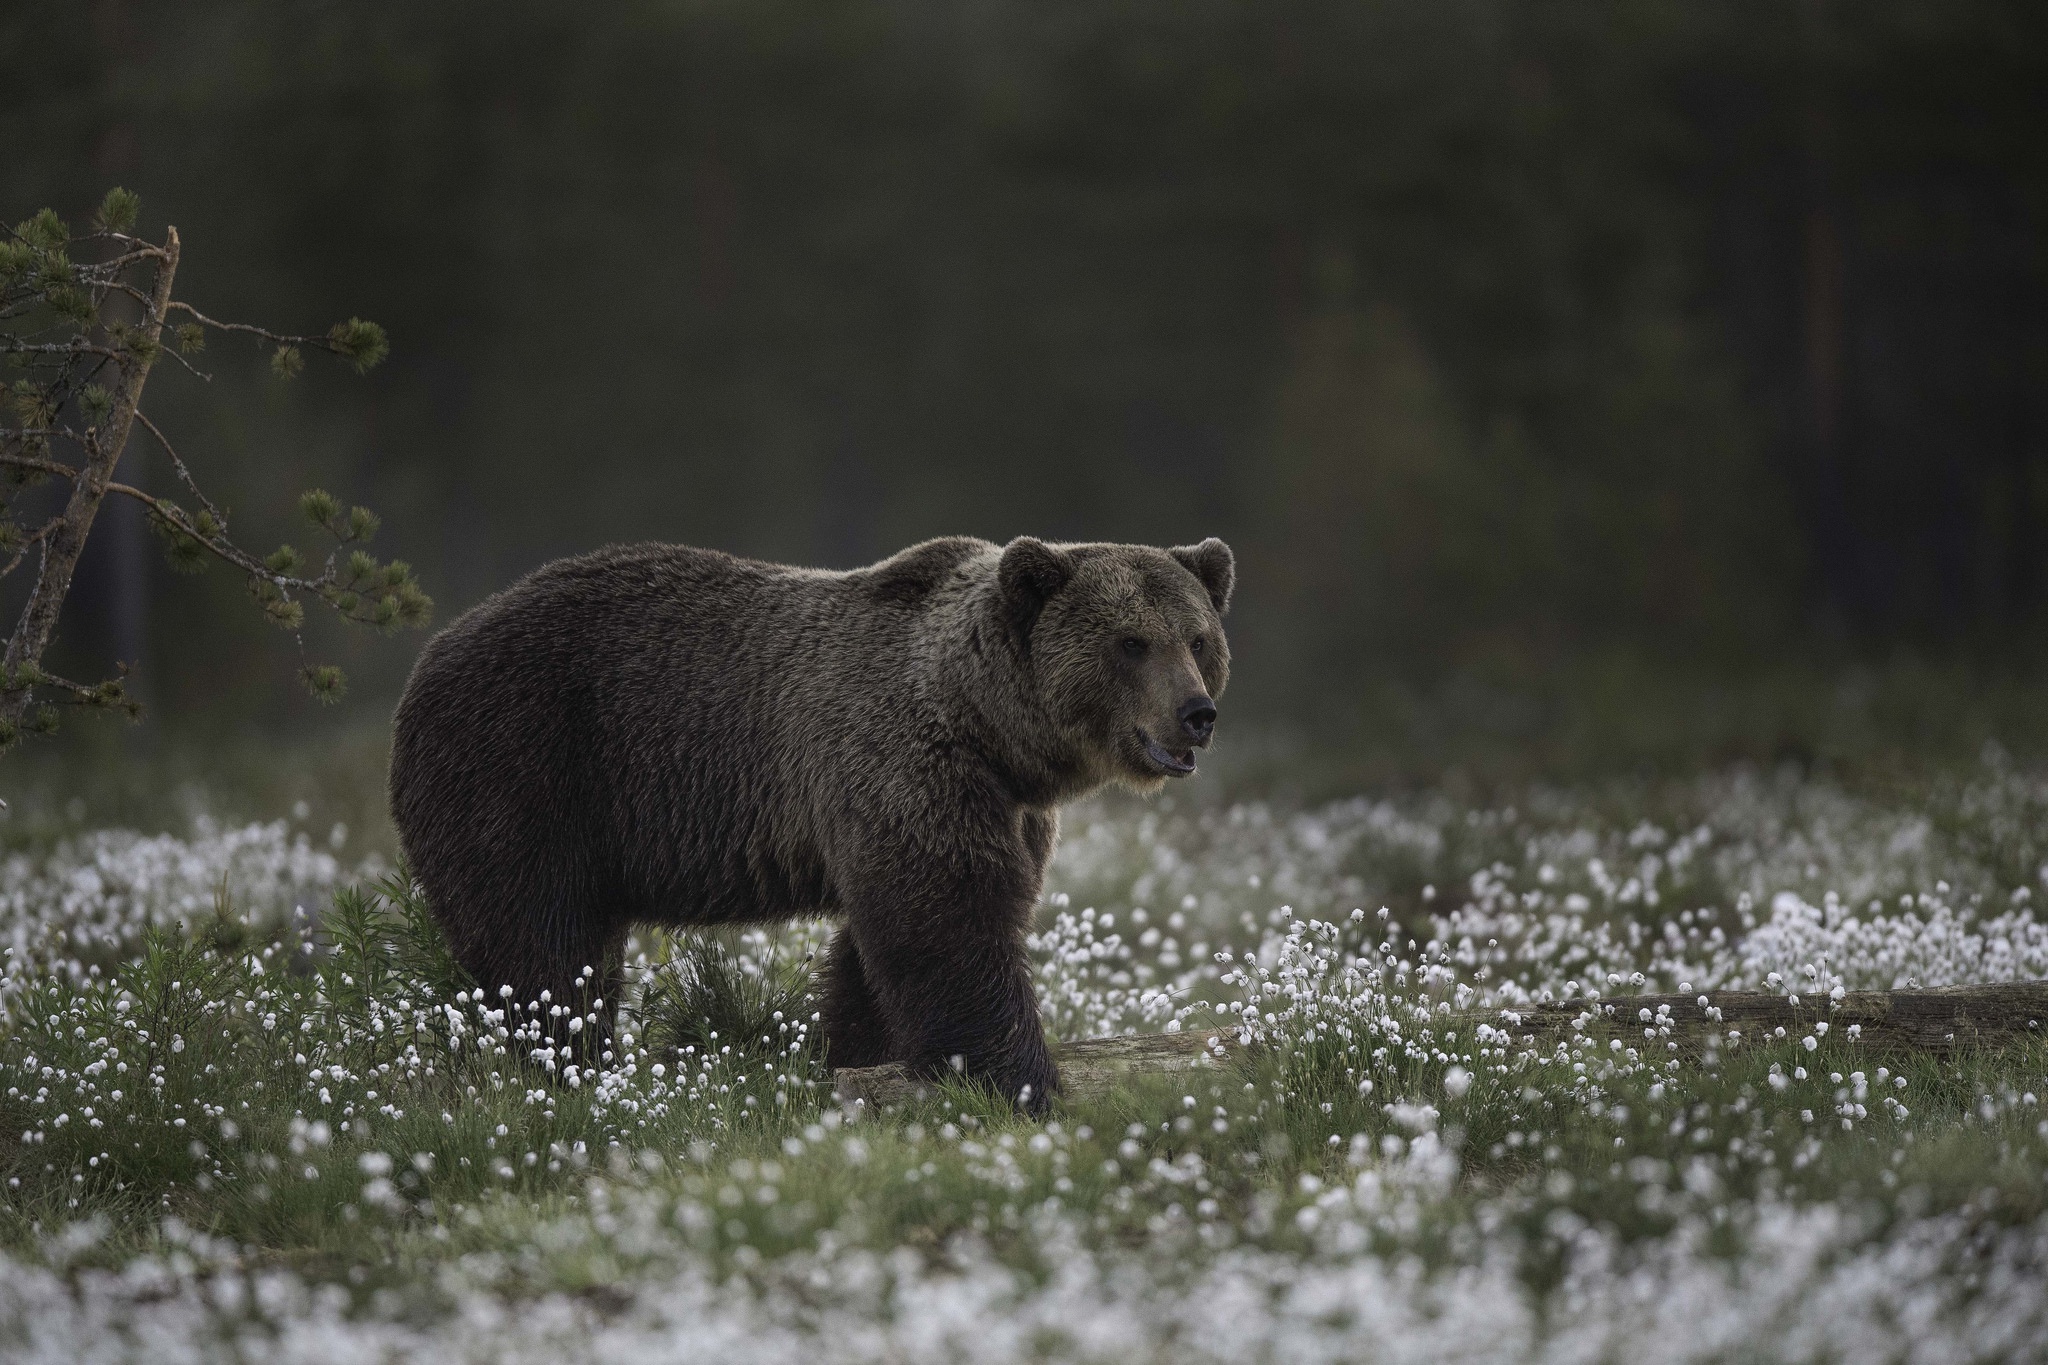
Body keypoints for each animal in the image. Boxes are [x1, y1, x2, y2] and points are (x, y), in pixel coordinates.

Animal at [393, 532, 1236, 1113]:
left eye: (1197, 639)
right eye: (1131, 642)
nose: (1198, 713)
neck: (990, 730)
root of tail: (431, 653)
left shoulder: (1002, 809)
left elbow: (886, 945)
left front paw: (857, 1054)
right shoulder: (906, 764)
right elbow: (949, 925)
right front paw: (1023, 1081)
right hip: (526, 766)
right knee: (543, 945)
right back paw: (578, 1062)